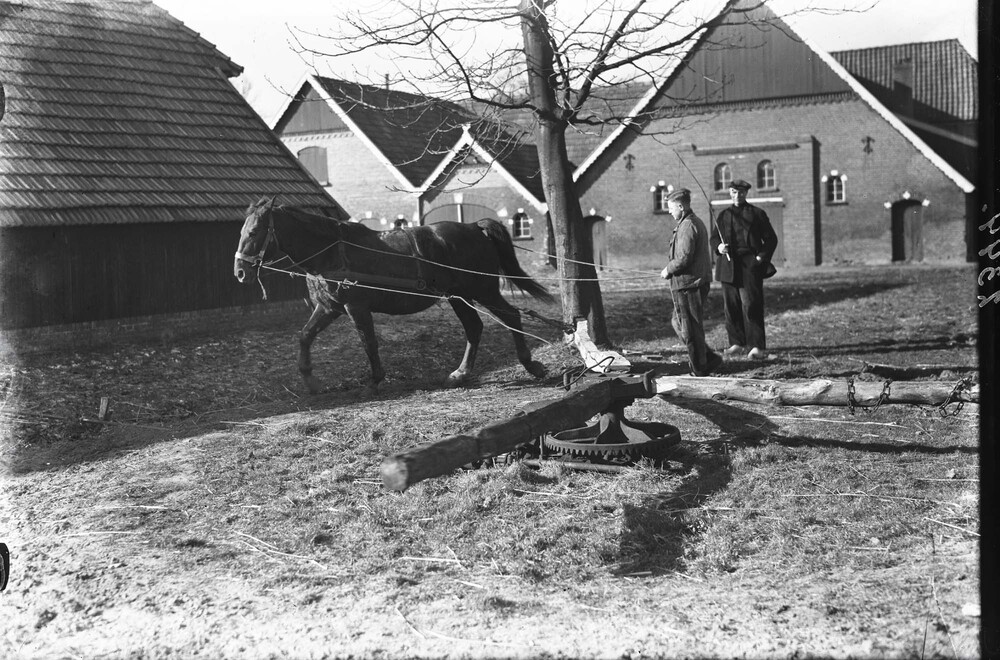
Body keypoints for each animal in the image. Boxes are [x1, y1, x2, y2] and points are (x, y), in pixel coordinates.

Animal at [233, 197, 555, 394]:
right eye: (242, 231)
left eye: (254, 232)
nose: (239, 271)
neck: (331, 251)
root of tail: (474, 227)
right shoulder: (329, 308)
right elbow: (305, 336)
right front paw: (310, 381)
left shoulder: (356, 307)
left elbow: (369, 343)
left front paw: (375, 381)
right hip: (458, 296)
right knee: (474, 328)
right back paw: (461, 373)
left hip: (482, 289)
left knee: (510, 316)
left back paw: (531, 365)